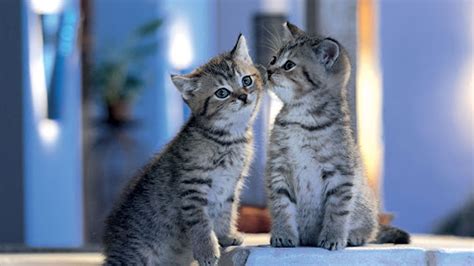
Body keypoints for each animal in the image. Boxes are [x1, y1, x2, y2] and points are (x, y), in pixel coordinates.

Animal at [102, 34, 264, 264]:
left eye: (246, 80)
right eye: (222, 92)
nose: (243, 96)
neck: (229, 139)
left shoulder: (230, 187)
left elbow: (226, 213)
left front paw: (226, 236)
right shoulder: (192, 188)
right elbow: (201, 224)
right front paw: (207, 251)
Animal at [264, 22, 410, 249]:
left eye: (288, 65)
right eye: (273, 59)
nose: (268, 71)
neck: (301, 118)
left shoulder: (340, 174)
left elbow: (337, 211)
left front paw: (333, 237)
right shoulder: (278, 168)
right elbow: (281, 205)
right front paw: (283, 234)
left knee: (370, 230)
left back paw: (354, 236)